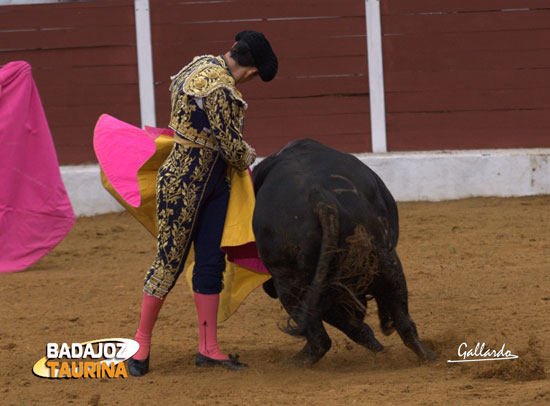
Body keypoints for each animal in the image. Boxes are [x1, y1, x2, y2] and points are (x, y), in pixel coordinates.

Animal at [253, 139, 440, 364]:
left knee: (322, 338)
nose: (267, 287)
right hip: (382, 262)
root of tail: (321, 199)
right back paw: (424, 354)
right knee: (399, 317)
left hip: (295, 284)